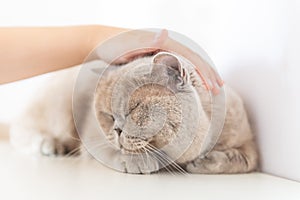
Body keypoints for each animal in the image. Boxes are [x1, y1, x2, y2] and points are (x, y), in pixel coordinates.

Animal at [9, 51, 258, 173]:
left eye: (135, 109)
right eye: (109, 116)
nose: (117, 129)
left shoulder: (247, 139)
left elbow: (246, 160)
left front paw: (205, 163)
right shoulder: (92, 137)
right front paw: (141, 162)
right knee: (22, 129)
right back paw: (51, 146)